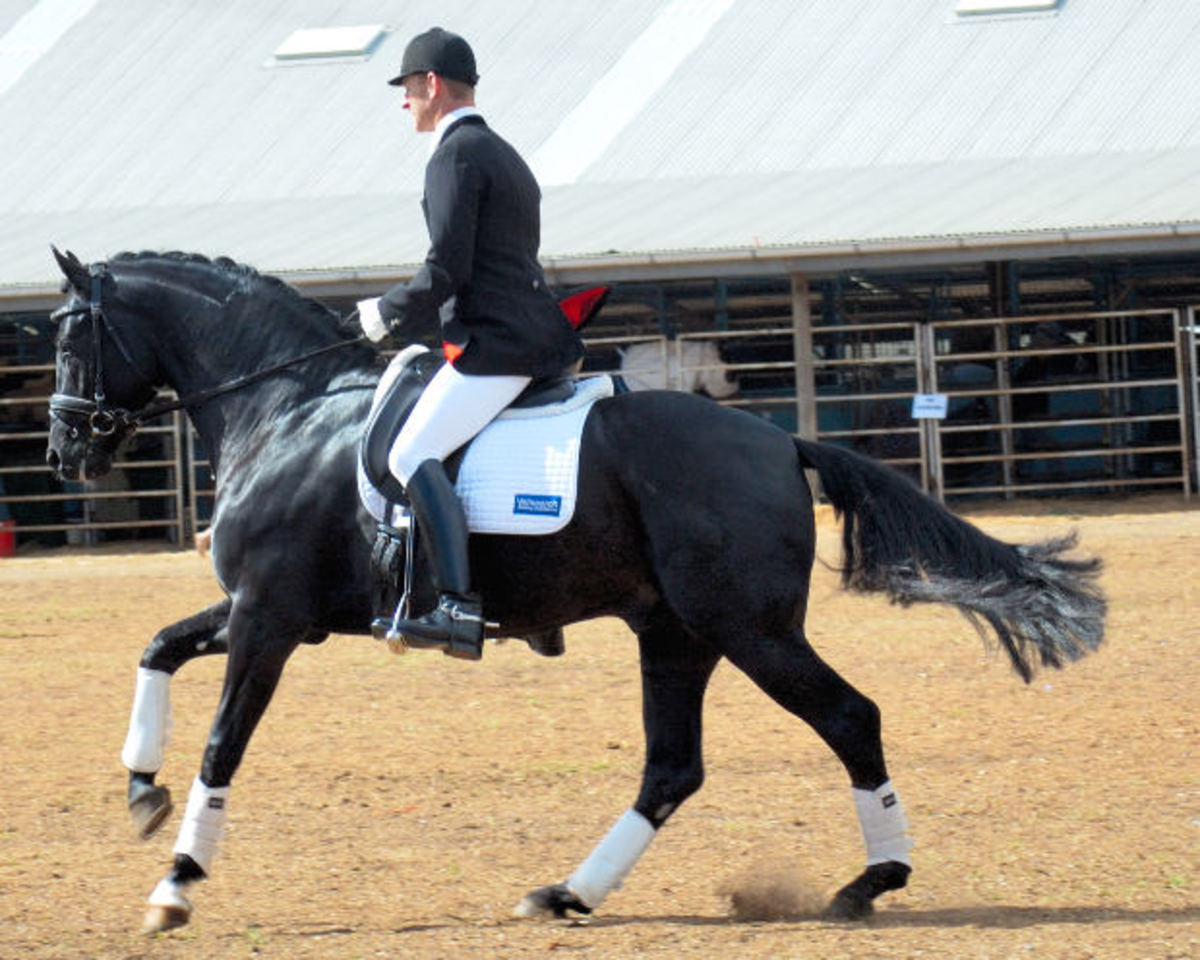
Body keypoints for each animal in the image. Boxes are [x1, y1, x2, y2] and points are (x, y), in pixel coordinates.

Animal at [44, 248, 1106, 935]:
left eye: (64, 336)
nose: (62, 452)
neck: (286, 408)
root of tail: (779, 440)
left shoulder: (271, 617)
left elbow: (224, 742)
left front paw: (178, 881)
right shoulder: (273, 614)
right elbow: (159, 645)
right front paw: (141, 788)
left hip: (748, 630)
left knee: (850, 718)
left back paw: (870, 880)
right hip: (676, 634)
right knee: (672, 768)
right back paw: (569, 894)